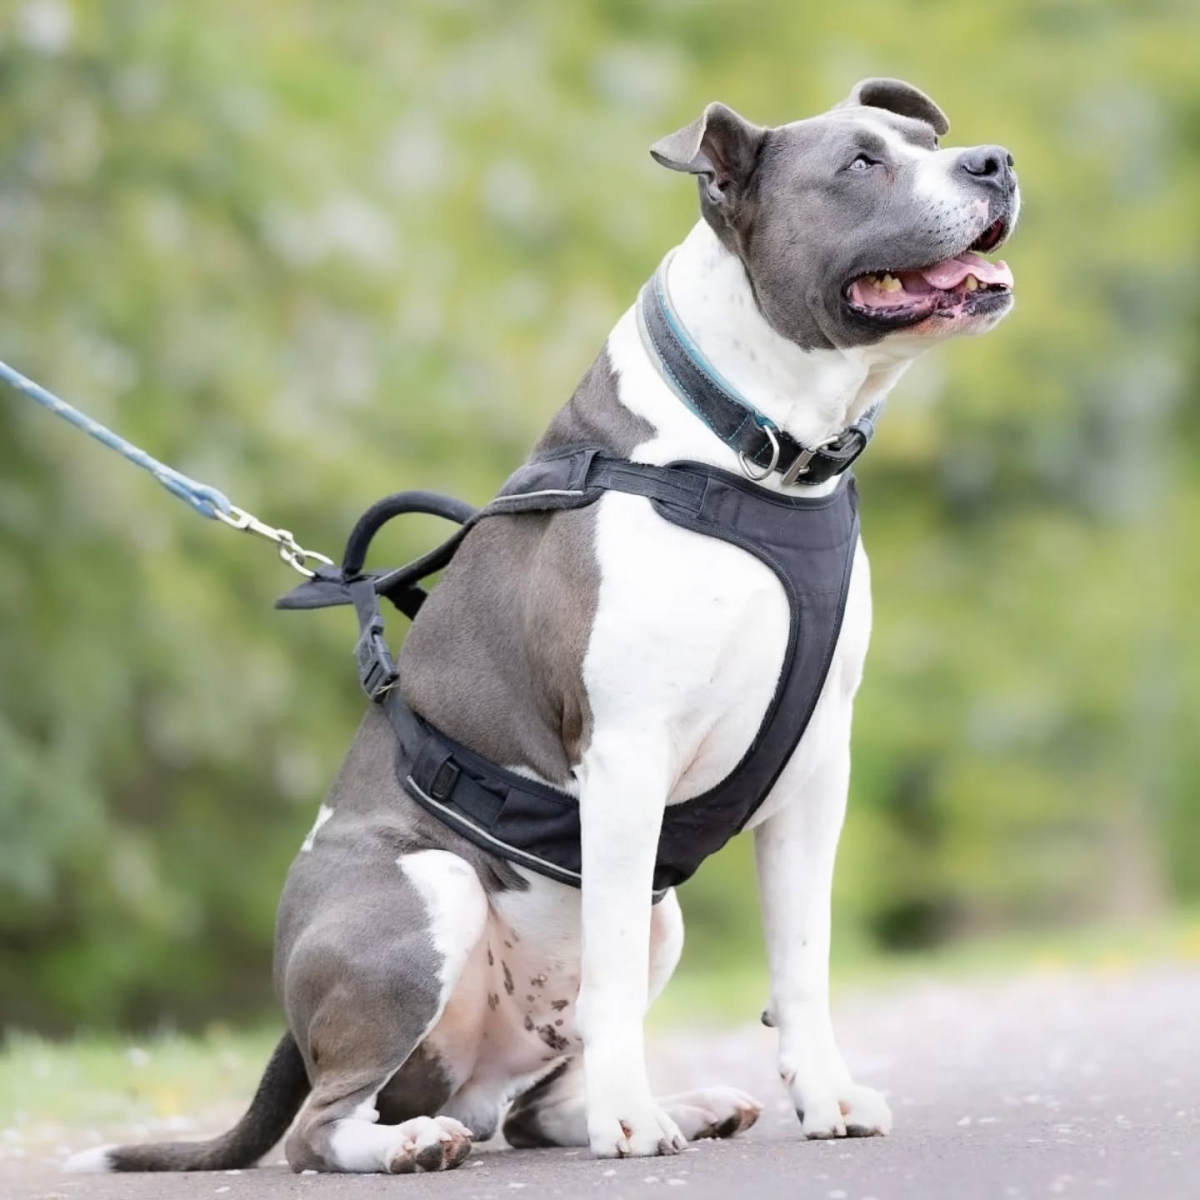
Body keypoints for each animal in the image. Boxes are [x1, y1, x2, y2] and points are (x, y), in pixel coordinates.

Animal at [68, 77, 1018, 1175]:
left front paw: (824, 1095)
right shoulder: (626, 756)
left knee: (529, 1110)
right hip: (427, 888)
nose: (995, 162)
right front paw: (631, 1124)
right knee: (322, 1127)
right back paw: (424, 1141)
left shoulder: (818, 764)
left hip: (655, 922)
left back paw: (672, 1106)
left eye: (921, 138)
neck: (753, 453)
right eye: (862, 165)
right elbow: (611, 973)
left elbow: (803, 960)